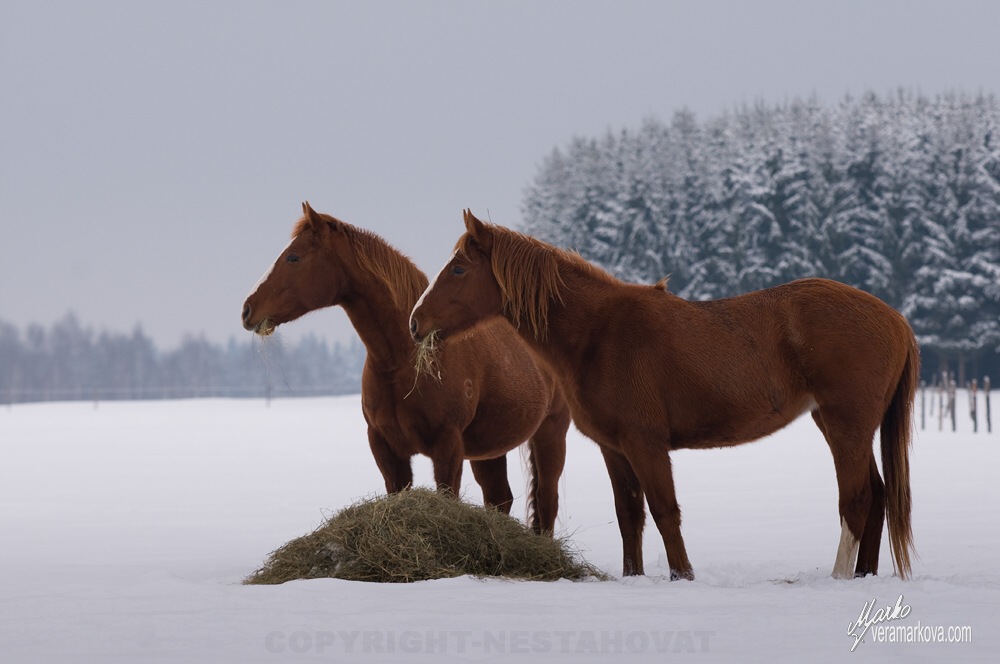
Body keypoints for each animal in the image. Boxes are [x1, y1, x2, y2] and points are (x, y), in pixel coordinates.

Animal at [243, 205, 572, 532]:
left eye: (293, 257)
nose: (247, 310)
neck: (399, 362)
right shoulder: (385, 447)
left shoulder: (447, 446)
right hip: (489, 449)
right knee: (500, 497)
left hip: (550, 434)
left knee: (546, 502)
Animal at [410, 210, 916, 580]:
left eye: (458, 268)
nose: (415, 322)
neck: (598, 333)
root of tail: (894, 318)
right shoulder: (614, 448)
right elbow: (629, 514)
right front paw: (633, 577)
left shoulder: (645, 444)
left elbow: (664, 510)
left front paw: (682, 577)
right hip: (838, 424)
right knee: (876, 495)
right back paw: (864, 575)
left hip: (847, 427)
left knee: (856, 500)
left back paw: (840, 576)